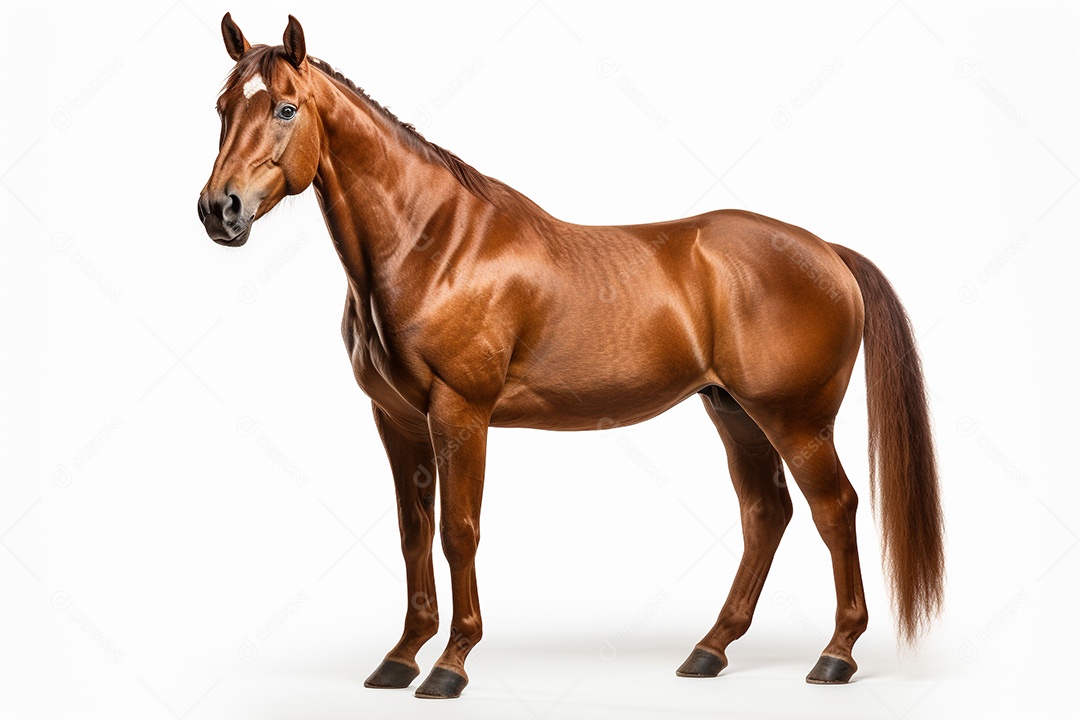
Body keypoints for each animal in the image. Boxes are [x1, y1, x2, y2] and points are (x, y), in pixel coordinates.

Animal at [198, 14, 944, 699]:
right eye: (222, 106)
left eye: (286, 107)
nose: (219, 210)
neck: (432, 246)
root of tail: (827, 252)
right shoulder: (398, 420)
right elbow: (414, 533)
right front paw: (401, 657)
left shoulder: (460, 414)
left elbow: (458, 532)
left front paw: (450, 664)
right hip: (733, 412)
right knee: (766, 514)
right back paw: (710, 650)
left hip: (796, 420)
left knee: (834, 508)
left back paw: (836, 655)